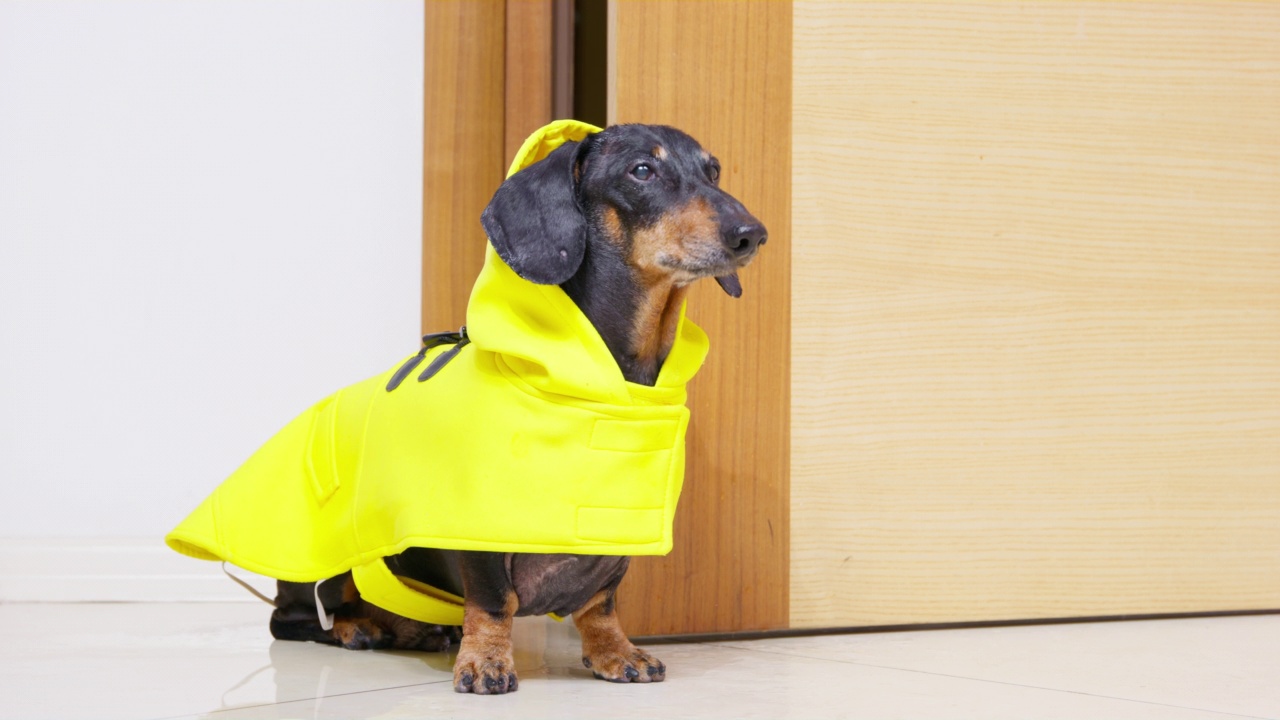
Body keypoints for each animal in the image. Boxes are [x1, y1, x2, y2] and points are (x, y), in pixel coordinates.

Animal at [266, 122, 762, 691]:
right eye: (642, 170)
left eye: (714, 170)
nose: (752, 234)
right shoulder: (479, 532)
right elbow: (493, 600)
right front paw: (486, 659)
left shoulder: (617, 535)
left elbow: (600, 605)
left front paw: (615, 652)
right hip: (325, 570)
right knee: (299, 619)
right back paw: (360, 628)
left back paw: (417, 629)